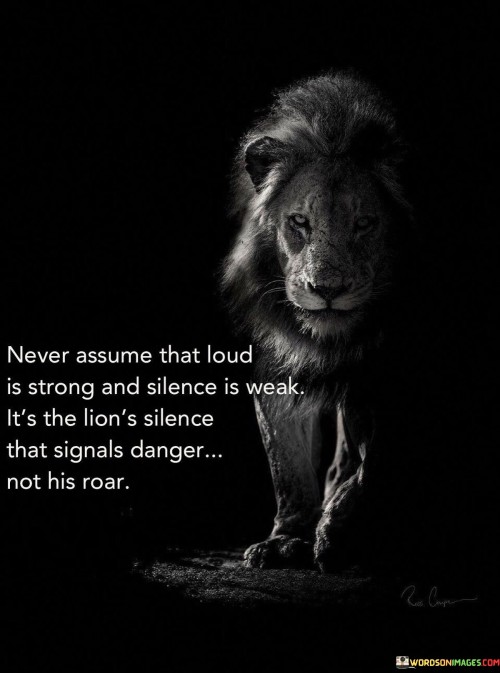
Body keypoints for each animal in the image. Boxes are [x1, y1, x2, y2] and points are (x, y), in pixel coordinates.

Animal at [221, 71, 413, 572]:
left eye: (364, 224)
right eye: (299, 222)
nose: (325, 289)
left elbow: (373, 458)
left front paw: (337, 534)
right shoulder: (275, 364)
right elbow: (287, 466)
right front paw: (287, 538)